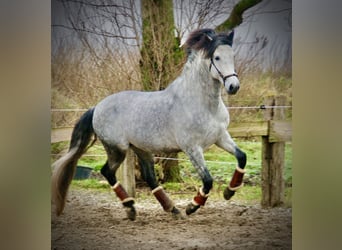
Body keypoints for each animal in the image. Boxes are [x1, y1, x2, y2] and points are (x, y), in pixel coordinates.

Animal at [51, 29, 246, 221]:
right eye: (217, 57)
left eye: (232, 55)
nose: (233, 86)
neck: (203, 105)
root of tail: (97, 107)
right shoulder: (192, 148)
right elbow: (208, 180)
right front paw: (192, 206)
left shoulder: (221, 137)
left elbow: (242, 157)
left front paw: (229, 192)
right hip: (117, 149)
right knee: (108, 172)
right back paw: (131, 208)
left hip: (140, 148)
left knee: (149, 177)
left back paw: (171, 209)